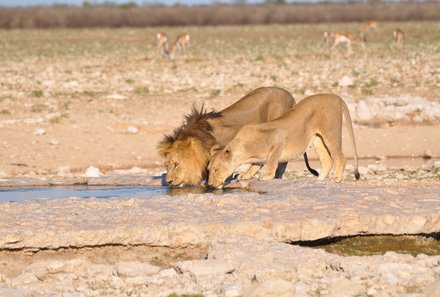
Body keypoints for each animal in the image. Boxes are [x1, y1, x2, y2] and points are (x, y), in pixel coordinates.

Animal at [208, 93, 360, 187]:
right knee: (327, 160)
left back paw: (336, 178)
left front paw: (266, 176)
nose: (209, 184)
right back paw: (319, 179)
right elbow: (255, 165)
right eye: (209, 170)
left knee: (340, 157)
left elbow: (272, 161)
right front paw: (245, 175)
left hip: (331, 132)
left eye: (216, 170)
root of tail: (336, 97)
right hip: (318, 138)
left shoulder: (279, 136)